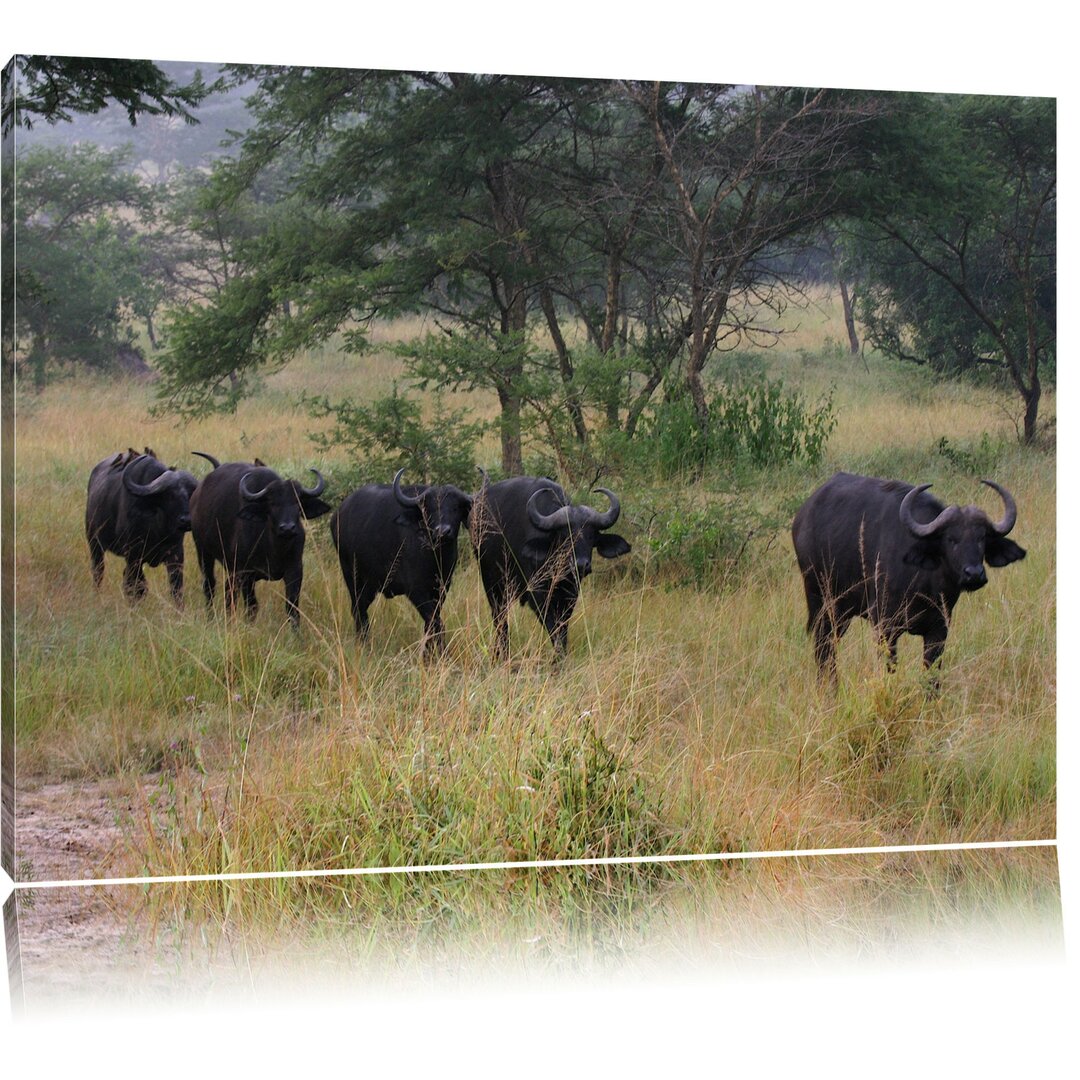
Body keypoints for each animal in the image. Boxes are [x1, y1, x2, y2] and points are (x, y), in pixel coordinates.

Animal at [85, 451, 199, 604]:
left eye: (191, 494)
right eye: (170, 496)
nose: (186, 520)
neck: (158, 530)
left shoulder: (176, 555)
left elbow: (176, 588)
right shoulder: (133, 555)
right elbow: (136, 586)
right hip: (95, 544)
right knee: (99, 571)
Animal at [190, 462, 330, 630]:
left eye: (297, 503)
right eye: (272, 503)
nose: (287, 528)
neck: (275, 547)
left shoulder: (295, 570)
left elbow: (292, 608)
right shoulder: (246, 573)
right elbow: (252, 606)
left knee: (229, 590)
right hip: (203, 551)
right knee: (209, 586)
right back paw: (211, 618)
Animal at [328, 470, 473, 652]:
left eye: (456, 507)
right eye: (429, 508)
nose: (443, 531)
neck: (435, 557)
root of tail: (337, 515)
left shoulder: (441, 589)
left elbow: (431, 623)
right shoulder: (416, 591)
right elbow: (435, 622)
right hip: (352, 576)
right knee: (358, 610)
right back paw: (364, 644)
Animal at [473, 475, 630, 656]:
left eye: (592, 536)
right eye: (564, 536)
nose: (581, 564)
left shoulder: (570, 595)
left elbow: (563, 628)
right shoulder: (538, 595)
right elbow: (553, 628)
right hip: (492, 584)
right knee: (500, 619)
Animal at [790, 475, 1023, 682]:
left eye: (982, 538)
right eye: (951, 539)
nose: (974, 573)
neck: (925, 584)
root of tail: (802, 516)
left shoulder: (939, 630)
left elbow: (931, 678)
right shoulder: (885, 627)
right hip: (821, 603)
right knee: (823, 648)